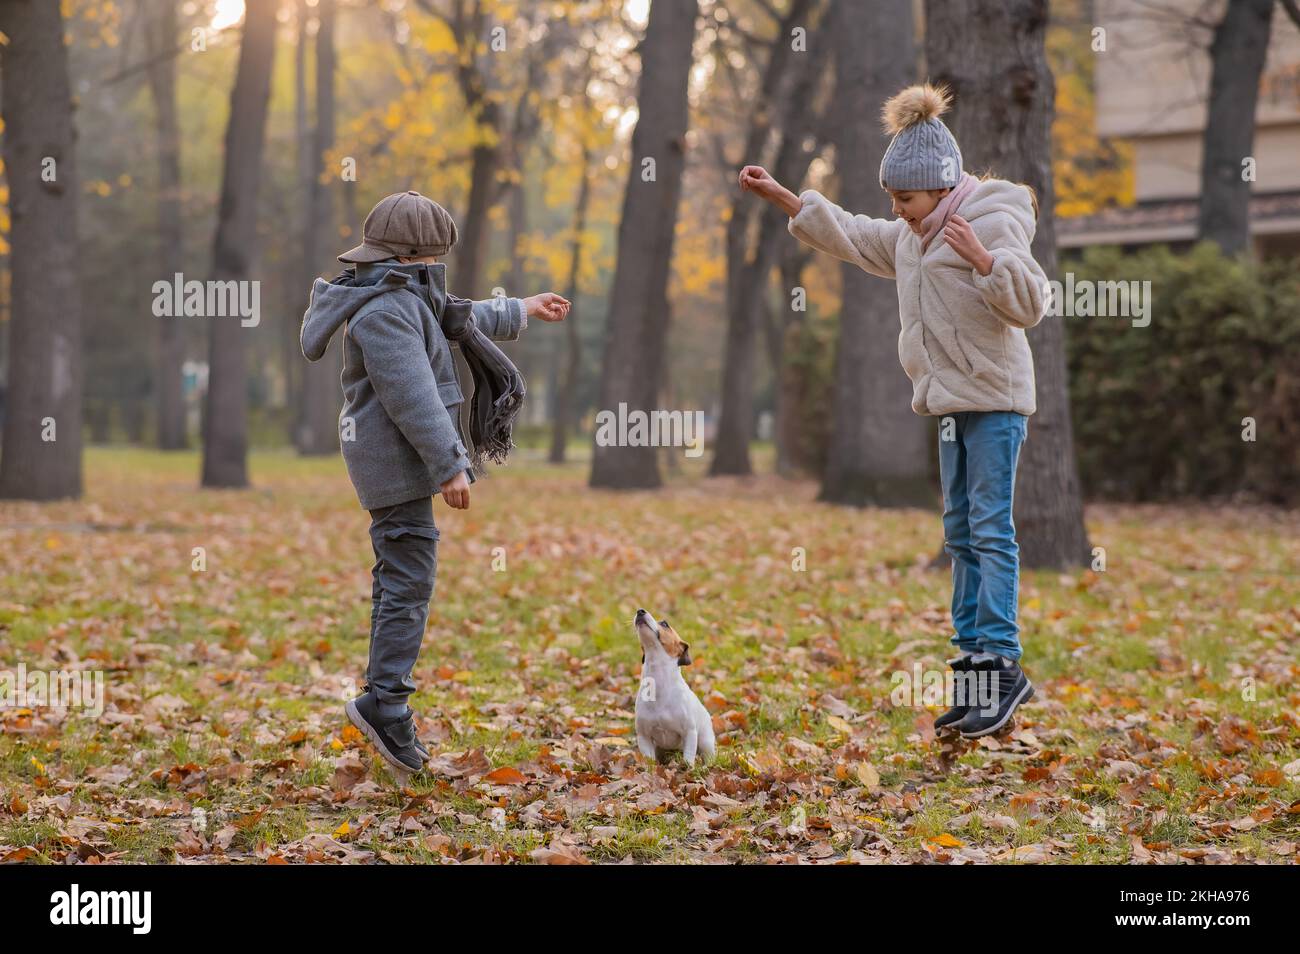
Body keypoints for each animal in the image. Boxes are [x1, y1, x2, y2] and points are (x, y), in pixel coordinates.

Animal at [634, 613, 717, 769]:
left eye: (665, 624)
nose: (640, 611)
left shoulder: (689, 732)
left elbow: (688, 756)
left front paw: (687, 768)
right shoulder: (644, 736)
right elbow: (649, 759)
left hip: (705, 741)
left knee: (708, 755)